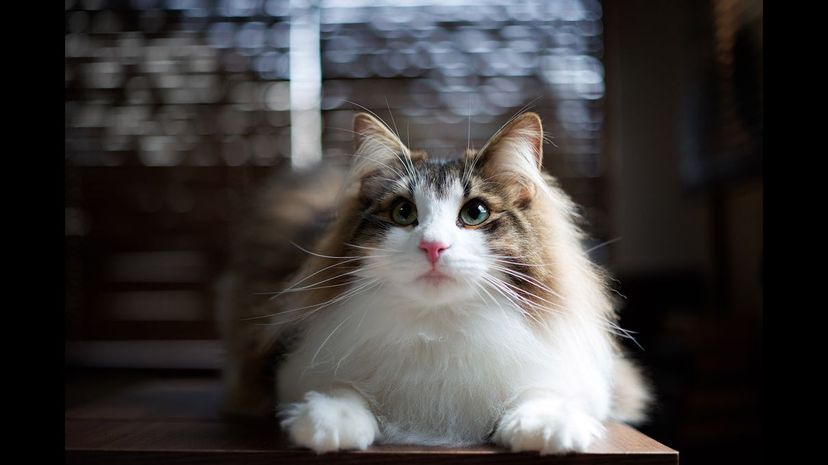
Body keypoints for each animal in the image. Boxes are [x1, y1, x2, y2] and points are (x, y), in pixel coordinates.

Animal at [217, 111, 652, 454]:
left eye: (475, 213)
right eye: (403, 212)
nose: (433, 246)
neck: (439, 327)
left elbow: (544, 391)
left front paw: (546, 427)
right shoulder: (283, 366)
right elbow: (341, 389)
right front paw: (330, 422)